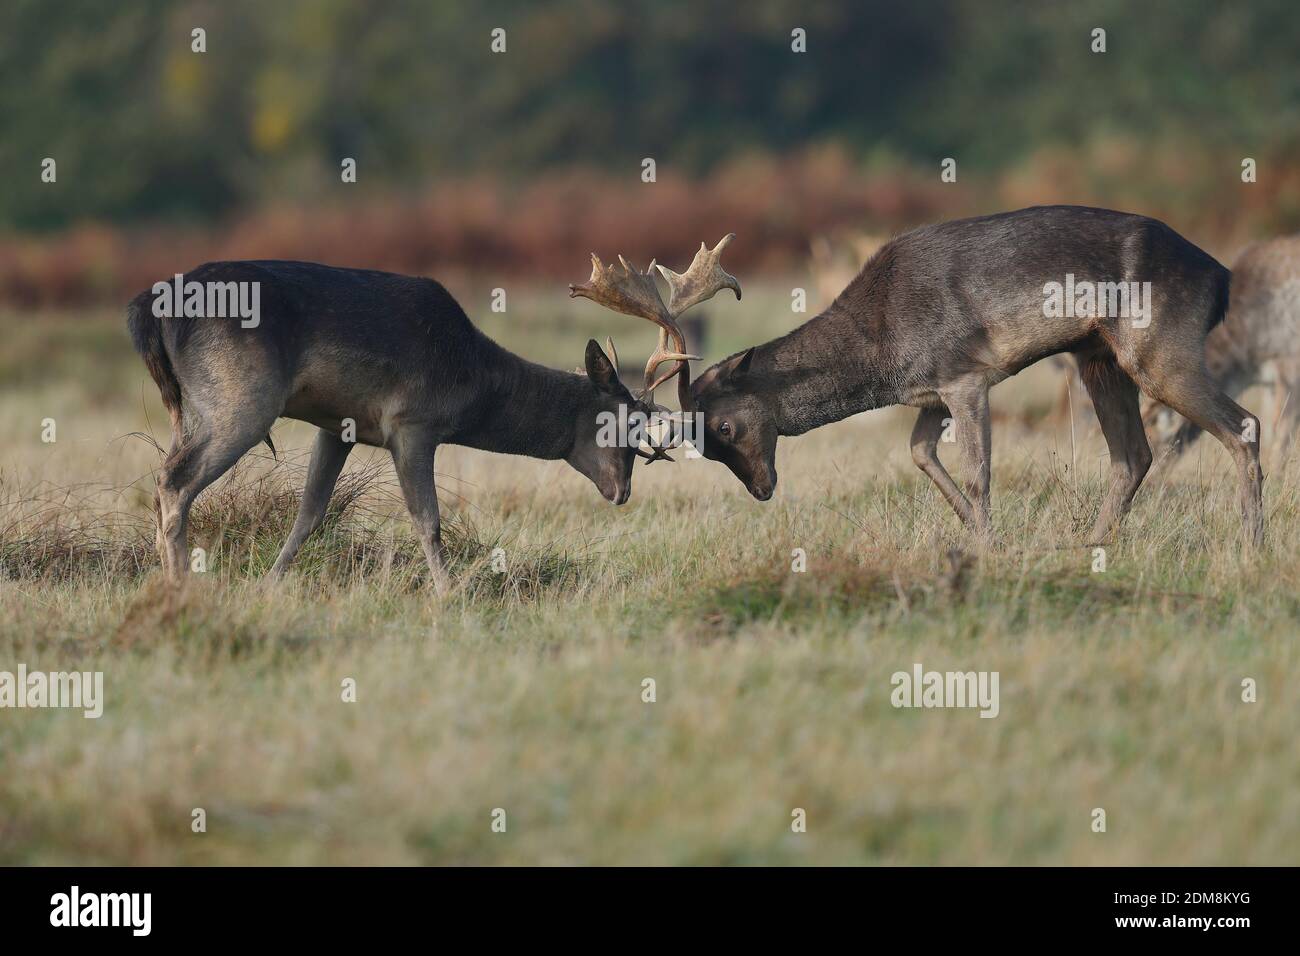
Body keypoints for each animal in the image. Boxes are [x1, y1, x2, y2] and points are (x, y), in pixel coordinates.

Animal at [127, 254, 737, 588]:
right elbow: (429, 519)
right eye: (623, 426)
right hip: (241, 399)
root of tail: (147, 310)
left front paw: (271, 585)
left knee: (165, 479)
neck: (472, 380)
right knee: (173, 482)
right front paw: (449, 593)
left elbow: (309, 514)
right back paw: (179, 585)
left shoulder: (338, 425)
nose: (622, 492)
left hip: (192, 407)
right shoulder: (412, 422)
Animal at [588, 207, 1263, 547]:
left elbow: (978, 471)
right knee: (1134, 455)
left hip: (1160, 346)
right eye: (701, 442)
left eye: (726, 425)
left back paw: (1252, 545)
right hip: (1097, 355)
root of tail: (1221, 279)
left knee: (1244, 425)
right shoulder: (931, 391)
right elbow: (918, 454)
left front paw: (988, 547)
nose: (761, 489)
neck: (885, 345)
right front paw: (981, 537)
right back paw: (1089, 548)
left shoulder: (966, 373)